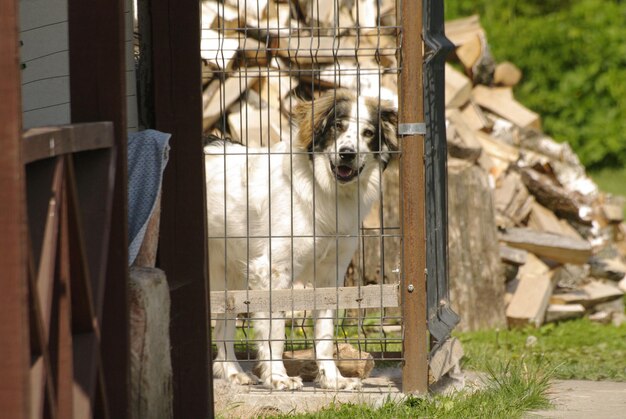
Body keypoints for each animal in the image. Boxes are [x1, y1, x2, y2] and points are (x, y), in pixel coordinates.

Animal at [207, 88, 398, 390]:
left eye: (368, 133)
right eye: (337, 126)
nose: (347, 154)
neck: (324, 189)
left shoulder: (331, 275)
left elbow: (325, 335)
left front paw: (333, 379)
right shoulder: (273, 272)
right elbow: (274, 333)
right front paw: (277, 378)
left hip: (230, 274)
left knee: (224, 328)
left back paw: (233, 372)